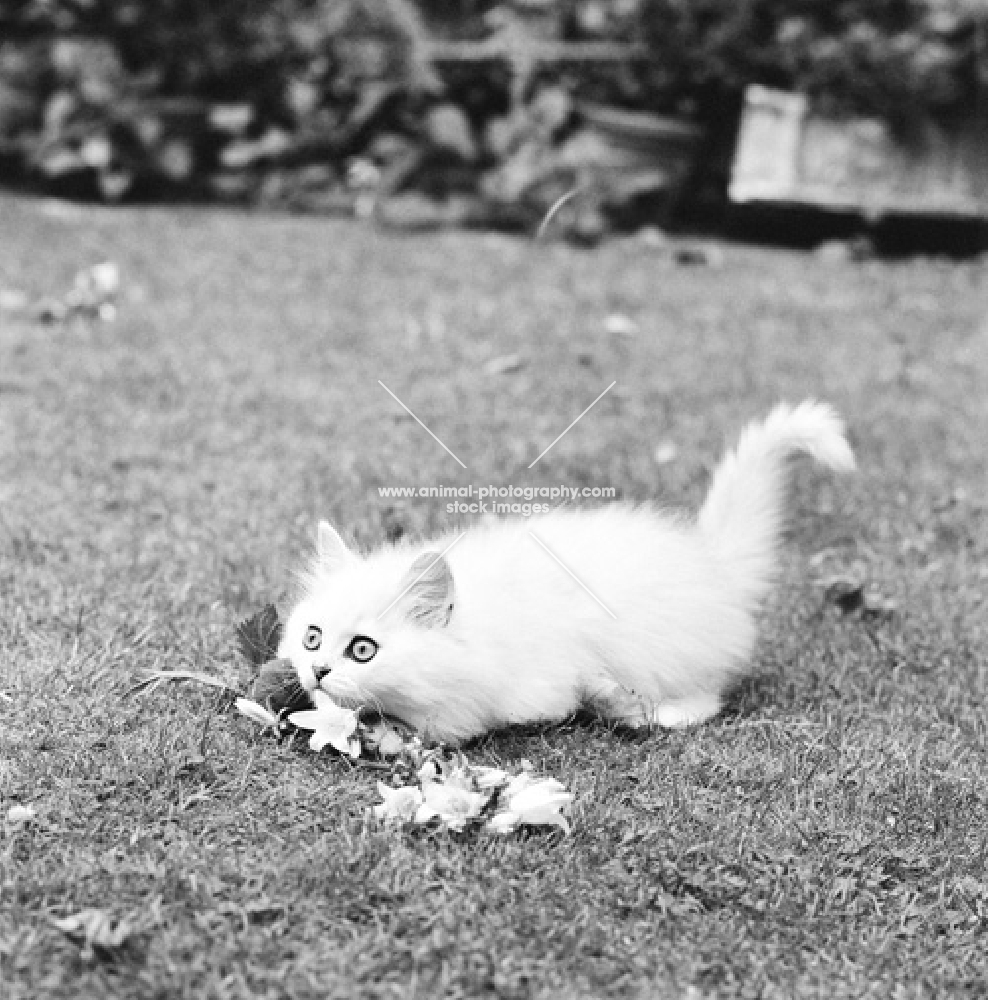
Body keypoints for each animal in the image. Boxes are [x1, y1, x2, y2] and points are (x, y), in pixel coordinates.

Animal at [280, 400, 856, 744]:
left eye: (363, 649)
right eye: (312, 638)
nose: (318, 670)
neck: (480, 628)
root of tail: (712, 561)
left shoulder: (532, 686)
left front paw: (387, 736)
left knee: (701, 701)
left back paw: (635, 711)